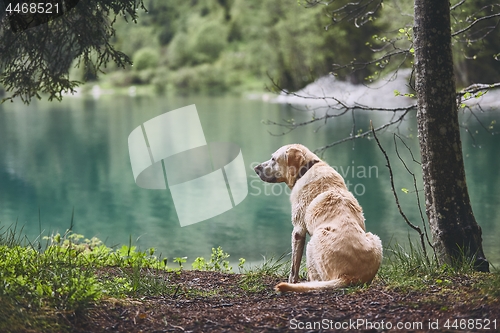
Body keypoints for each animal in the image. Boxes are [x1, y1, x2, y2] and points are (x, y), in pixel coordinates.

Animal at [254, 143, 382, 290]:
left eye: (273, 159)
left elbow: (294, 266)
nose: (256, 168)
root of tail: (348, 277)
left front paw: (292, 281)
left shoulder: (298, 230)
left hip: (311, 244)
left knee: (315, 276)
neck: (306, 169)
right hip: (375, 239)